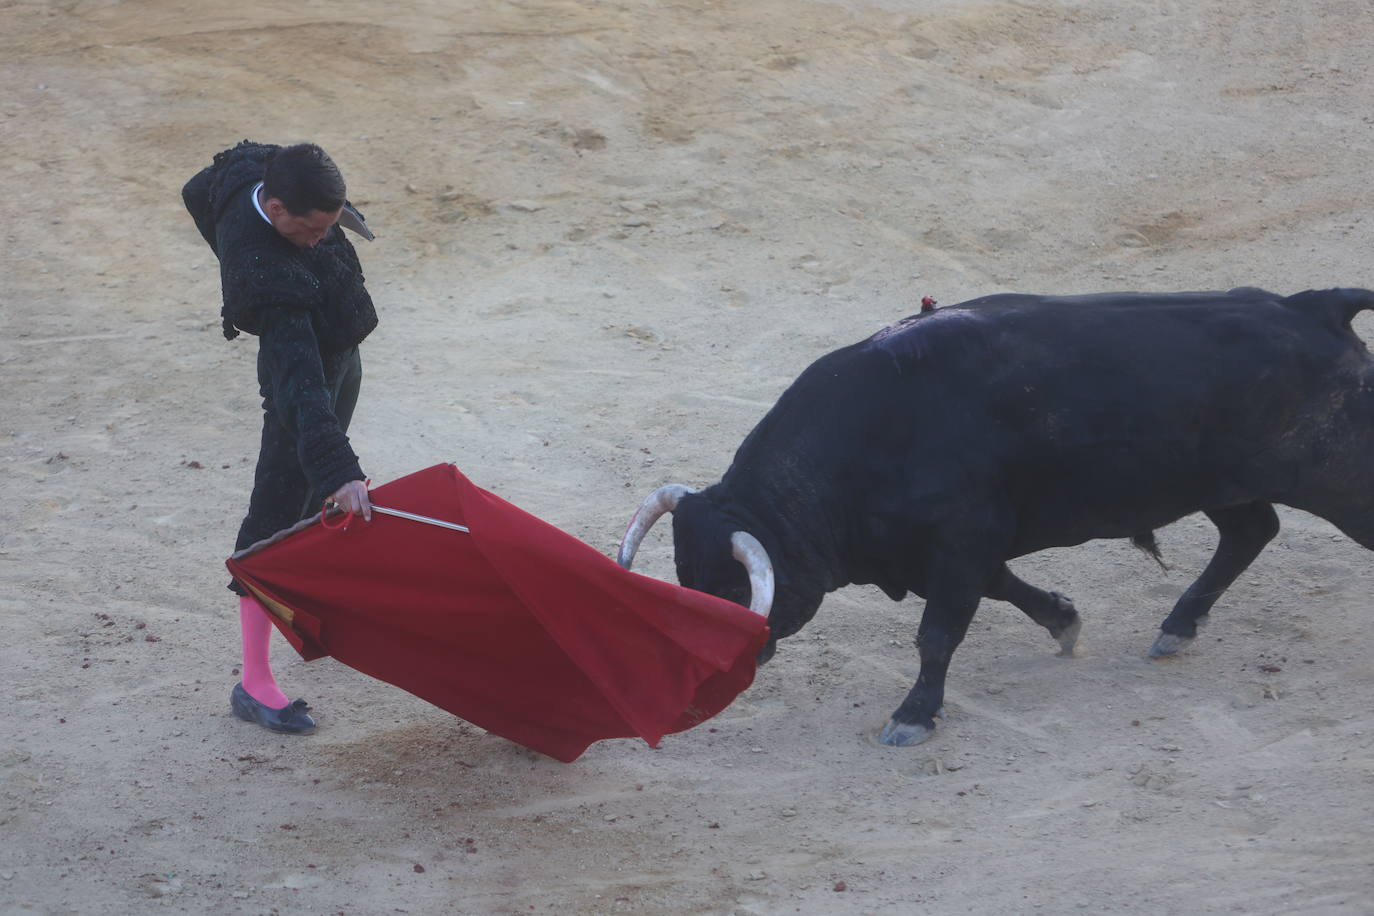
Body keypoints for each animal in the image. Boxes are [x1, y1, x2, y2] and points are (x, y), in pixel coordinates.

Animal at [621, 287, 1374, 747]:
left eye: (735, 588)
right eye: (685, 577)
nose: (702, 681)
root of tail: (1315, 306)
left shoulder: (960, 542)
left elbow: (936, 635)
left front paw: (912, 717)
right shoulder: (952, 550)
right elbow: (1004, 588)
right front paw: (1065, 622)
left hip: (1340, 480)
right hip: (1222, 483)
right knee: (1251, 532)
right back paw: (1177, 627)